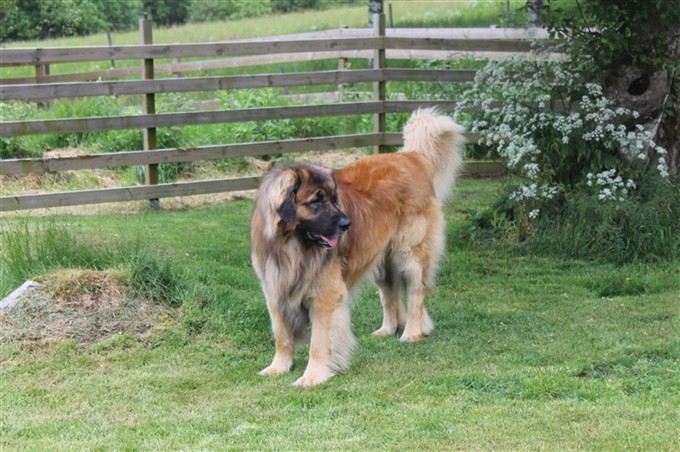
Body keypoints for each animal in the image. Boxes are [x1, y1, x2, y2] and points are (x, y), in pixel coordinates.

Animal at [250, 107, 468, 386]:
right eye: (316, 202)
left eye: (334, 198)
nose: (347, 224)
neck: (292, 247)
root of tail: (412, 156)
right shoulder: (275, 289)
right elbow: (281, 335)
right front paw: (278, 367)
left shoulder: (325, 295)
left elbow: (319, 342)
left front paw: (313, 376)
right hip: (381, 258)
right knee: (390, 293)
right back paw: (388, 329)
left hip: (410, 253)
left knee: (415, 293)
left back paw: (412, 332)